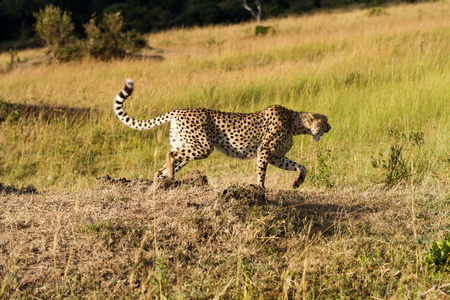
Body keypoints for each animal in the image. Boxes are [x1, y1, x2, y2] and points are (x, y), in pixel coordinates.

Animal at [112, 79, 330, 188]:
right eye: (325, 120)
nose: (330, 127)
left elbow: (301, 167)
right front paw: (260, 189)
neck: (295, 123)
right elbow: (261, 173)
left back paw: (163, 180)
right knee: (170, 154)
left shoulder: (276, 156)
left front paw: (297, 182)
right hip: (202, 147)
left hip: (188, 147)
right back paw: (170, 177)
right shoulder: (264, 151)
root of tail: (179, 110)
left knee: (163, 166)